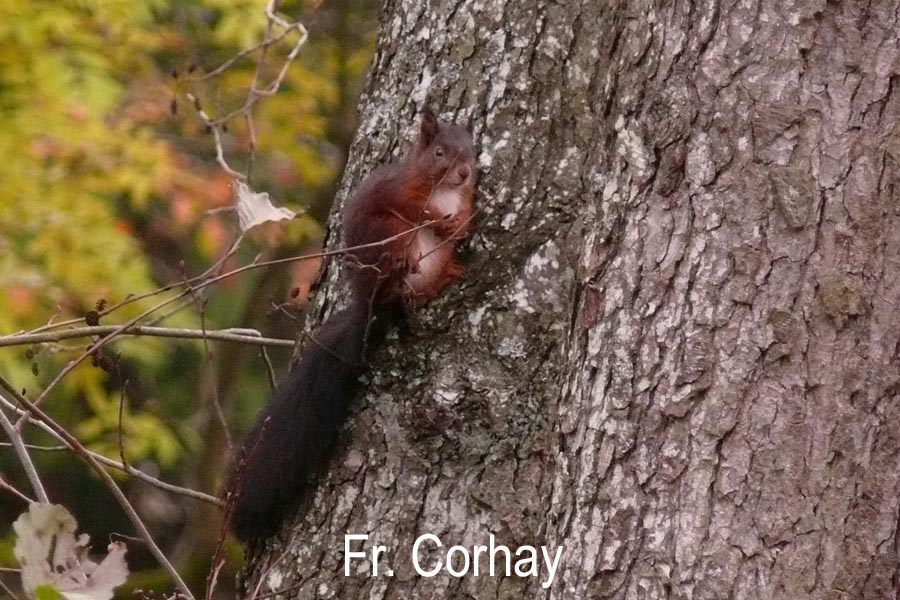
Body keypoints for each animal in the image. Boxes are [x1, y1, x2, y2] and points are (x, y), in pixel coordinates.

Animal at [225, 109, 478, 544]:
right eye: (440, 152)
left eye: (472, 151)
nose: (463, 173)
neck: (443, 190)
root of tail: (369, 309)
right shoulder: (399, 193)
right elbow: (414, 209)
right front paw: (437, 218)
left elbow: (464, 218)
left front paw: (459, 221)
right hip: (386, 240)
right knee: (398, 263)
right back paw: (405, 270)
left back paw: (447, 275)